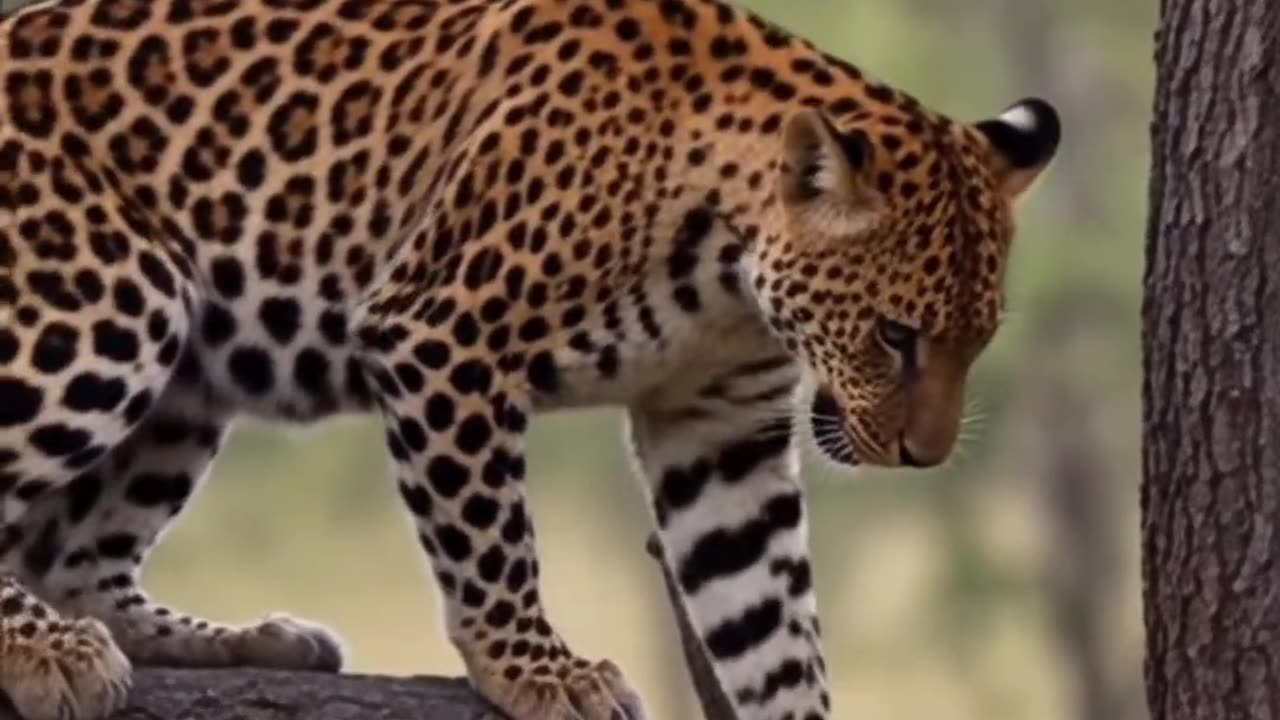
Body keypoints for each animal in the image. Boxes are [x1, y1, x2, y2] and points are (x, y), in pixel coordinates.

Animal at [0, 0, 1060, 718]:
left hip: (190, 374)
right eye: (895, 334)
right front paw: (539, 671)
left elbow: (770, 623)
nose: (921, 456)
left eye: (978, 341)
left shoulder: (722, 433)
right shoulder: (440, 333)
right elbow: (491, 537)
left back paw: (251, 638)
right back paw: (46, 652)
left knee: (73, 559)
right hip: (109, 300)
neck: (725, 275)